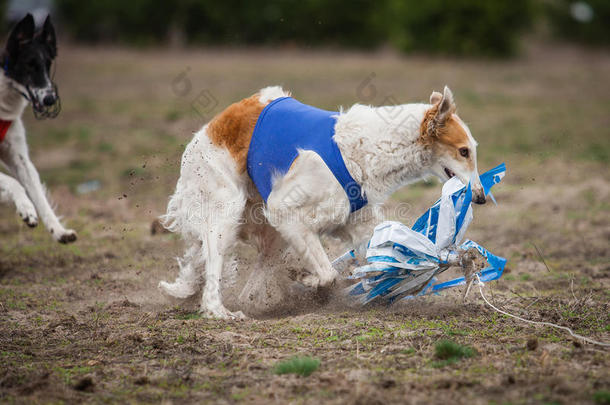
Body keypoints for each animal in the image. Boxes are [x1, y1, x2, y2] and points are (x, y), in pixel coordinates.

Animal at [0, 14, 75, 243]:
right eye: (29, 65)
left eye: (48, 64)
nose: (50, 99)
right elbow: (14, 183)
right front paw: (26, 209)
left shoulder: (19, 156)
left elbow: (38, 194)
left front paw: (58, 230)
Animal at [159, 85, 482, 318]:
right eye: (464, 151)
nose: (479, 196)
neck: (362, 150)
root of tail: (214, 124)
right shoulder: (284, 210)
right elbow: (328, 273)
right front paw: (308, 280)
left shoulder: (357, 225)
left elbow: (377, 266)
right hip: (226, 212)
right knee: (214, 268)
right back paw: (219, 311)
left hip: (270, 230)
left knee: (250, 275)